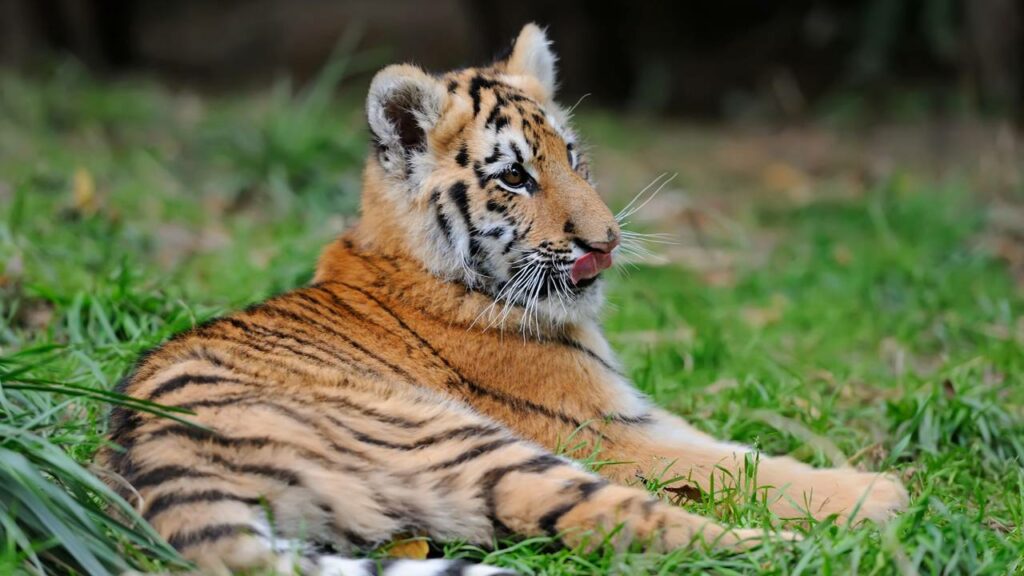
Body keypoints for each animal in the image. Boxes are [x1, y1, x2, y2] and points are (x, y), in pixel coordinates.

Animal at [99, 24, 909, 576]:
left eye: (573, 158)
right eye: (515, 177)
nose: (608, 241)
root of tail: (153, 462)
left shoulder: (635, 413)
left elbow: (738, 451)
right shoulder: (601, 431)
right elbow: (741, 468)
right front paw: (878, 491)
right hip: (468, 442)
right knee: (633, 523)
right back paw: (816, 543)